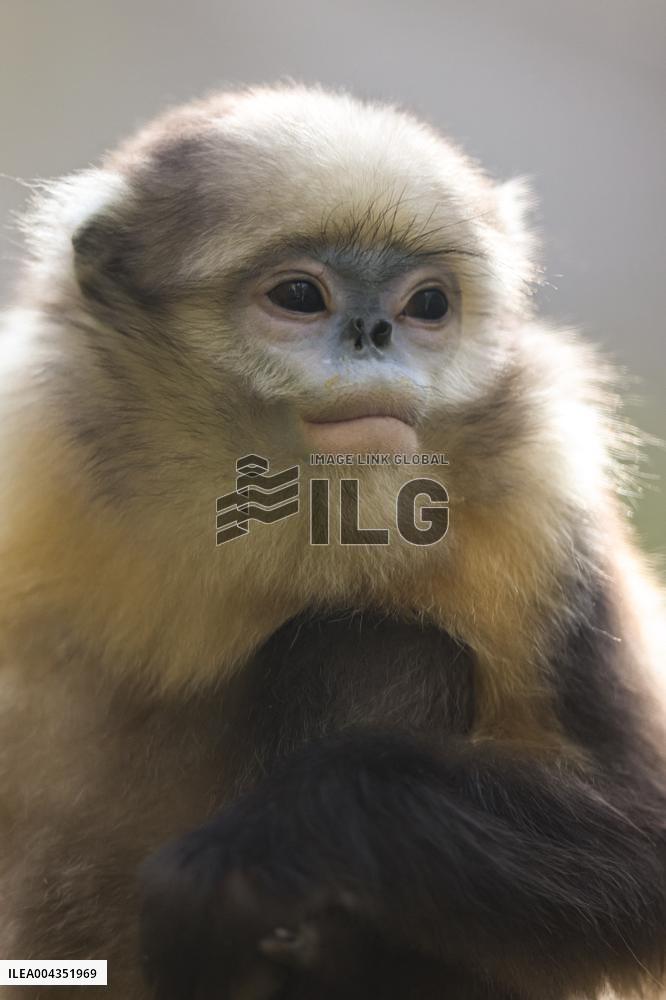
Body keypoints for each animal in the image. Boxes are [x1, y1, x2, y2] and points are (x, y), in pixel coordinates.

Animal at [0, 82, 664, 1000]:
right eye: (299, 296)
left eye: (428, 305)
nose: (374, 334)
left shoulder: (543, 483)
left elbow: (645, 849)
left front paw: (257, 850)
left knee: (369, 644)